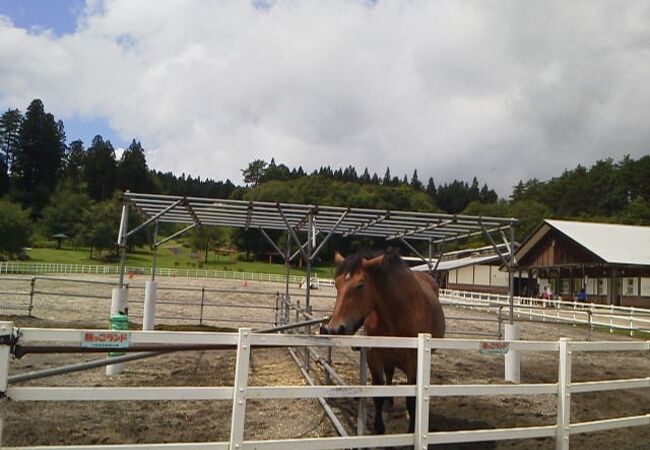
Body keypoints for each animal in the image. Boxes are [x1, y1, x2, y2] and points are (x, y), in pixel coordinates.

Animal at [318, 248, 446, 434]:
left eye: (360, 285)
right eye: (336, 284)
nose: (335, 328)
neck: (398, 315)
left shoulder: (414, 362)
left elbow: (411, 399)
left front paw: (411, 429)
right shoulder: (374, 356)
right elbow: (378, 392)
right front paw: (378, 428)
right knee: (389, 374)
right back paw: (389, 402)